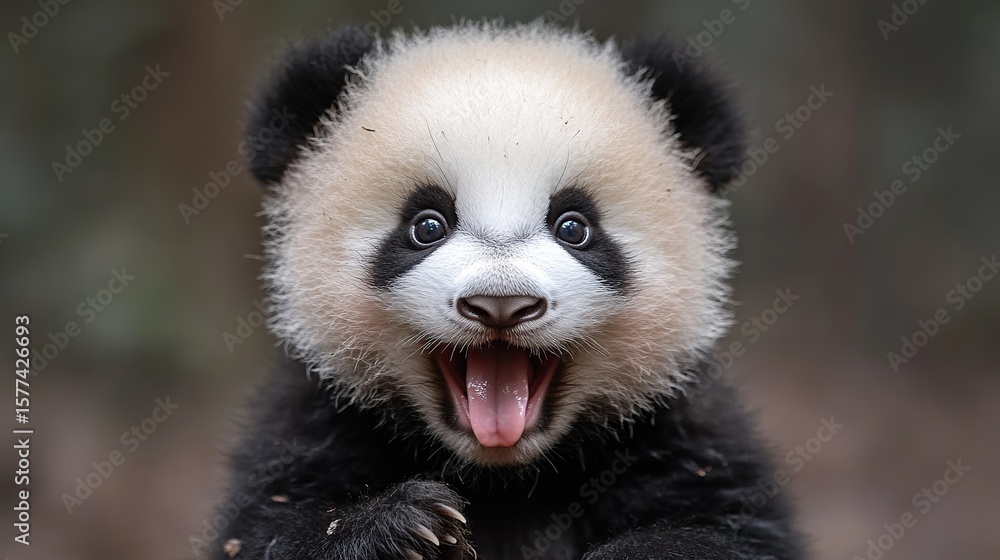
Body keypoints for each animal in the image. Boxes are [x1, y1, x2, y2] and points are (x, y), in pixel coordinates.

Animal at [212, 22, 803, 560]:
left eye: (574, 227)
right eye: (426, 225)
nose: (502, 304)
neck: (502, 475)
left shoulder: (682, 433)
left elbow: (727, 532)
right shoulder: (313, 422)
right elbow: (265, 529)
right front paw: (407, 528)